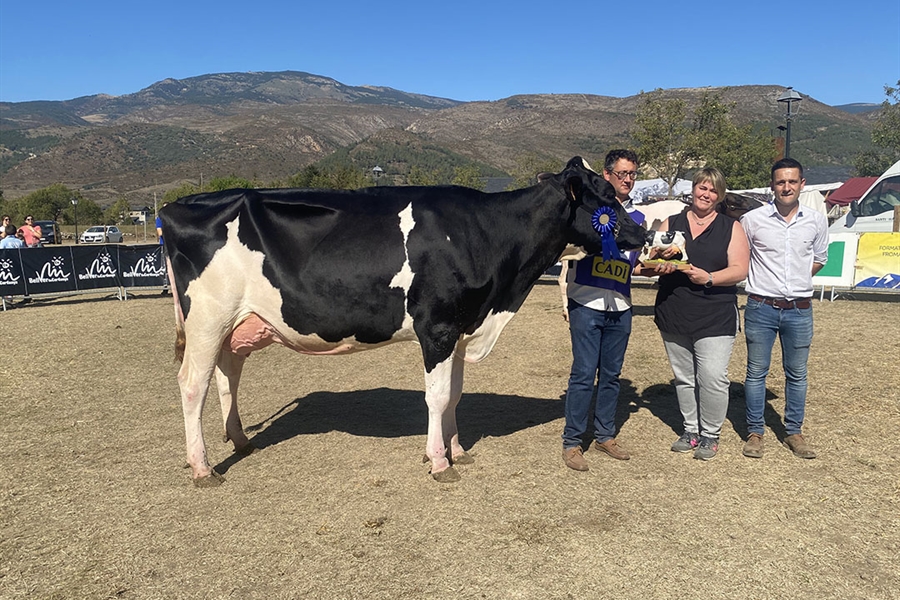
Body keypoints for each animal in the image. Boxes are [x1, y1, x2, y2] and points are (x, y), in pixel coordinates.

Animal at [162, 157, 652, 486]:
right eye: (606, 197)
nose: (644, 232)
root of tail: (176, 206)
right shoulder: (437, 327)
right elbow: (437, 397)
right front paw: (438, 461)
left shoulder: (460, 328)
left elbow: (455, 395)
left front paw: (458, 450)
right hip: (207, 317)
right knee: (193, 384)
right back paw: (203, 468)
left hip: (237, 322)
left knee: (228, 373)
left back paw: (240, 439)